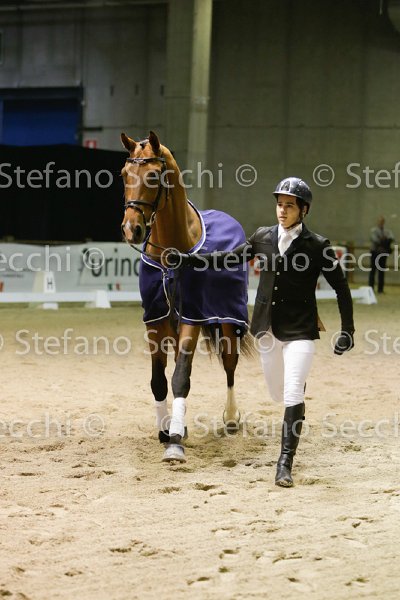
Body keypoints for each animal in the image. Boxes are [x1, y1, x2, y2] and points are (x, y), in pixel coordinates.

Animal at [120, 130, 250, 462]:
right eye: (124, 174)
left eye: (154, 175)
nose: (131, 229)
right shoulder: (155, 320)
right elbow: (158, 381)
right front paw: (165, 430)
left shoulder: (193, 316)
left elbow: (180, 378)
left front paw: (176, 442)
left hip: (229, 320)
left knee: (230, 363)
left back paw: (231, 417)